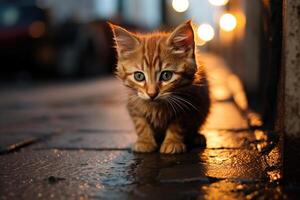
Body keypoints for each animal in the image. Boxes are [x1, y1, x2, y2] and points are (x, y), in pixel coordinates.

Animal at [109, 20, 210, 154]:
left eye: (166, 75)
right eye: (139, 76)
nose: (152, 94)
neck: (157, 107)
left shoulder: (188, 103)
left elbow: (177, 125)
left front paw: (172, 142)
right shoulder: (133, 104)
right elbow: (140, 123)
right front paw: (145, 141)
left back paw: (196, 137)